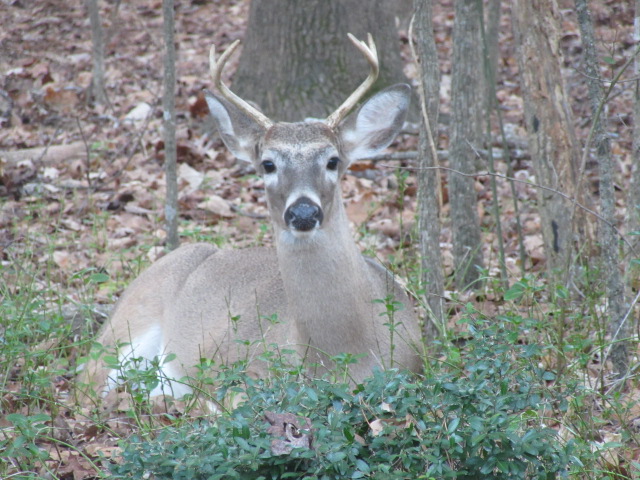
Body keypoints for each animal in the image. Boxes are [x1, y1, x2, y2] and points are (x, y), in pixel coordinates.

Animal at [79, 34, 423, 403]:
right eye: (268, 164)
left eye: (332, 160)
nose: (303, 212)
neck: (343, 352)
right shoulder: (237, 366)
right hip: (124, 329)